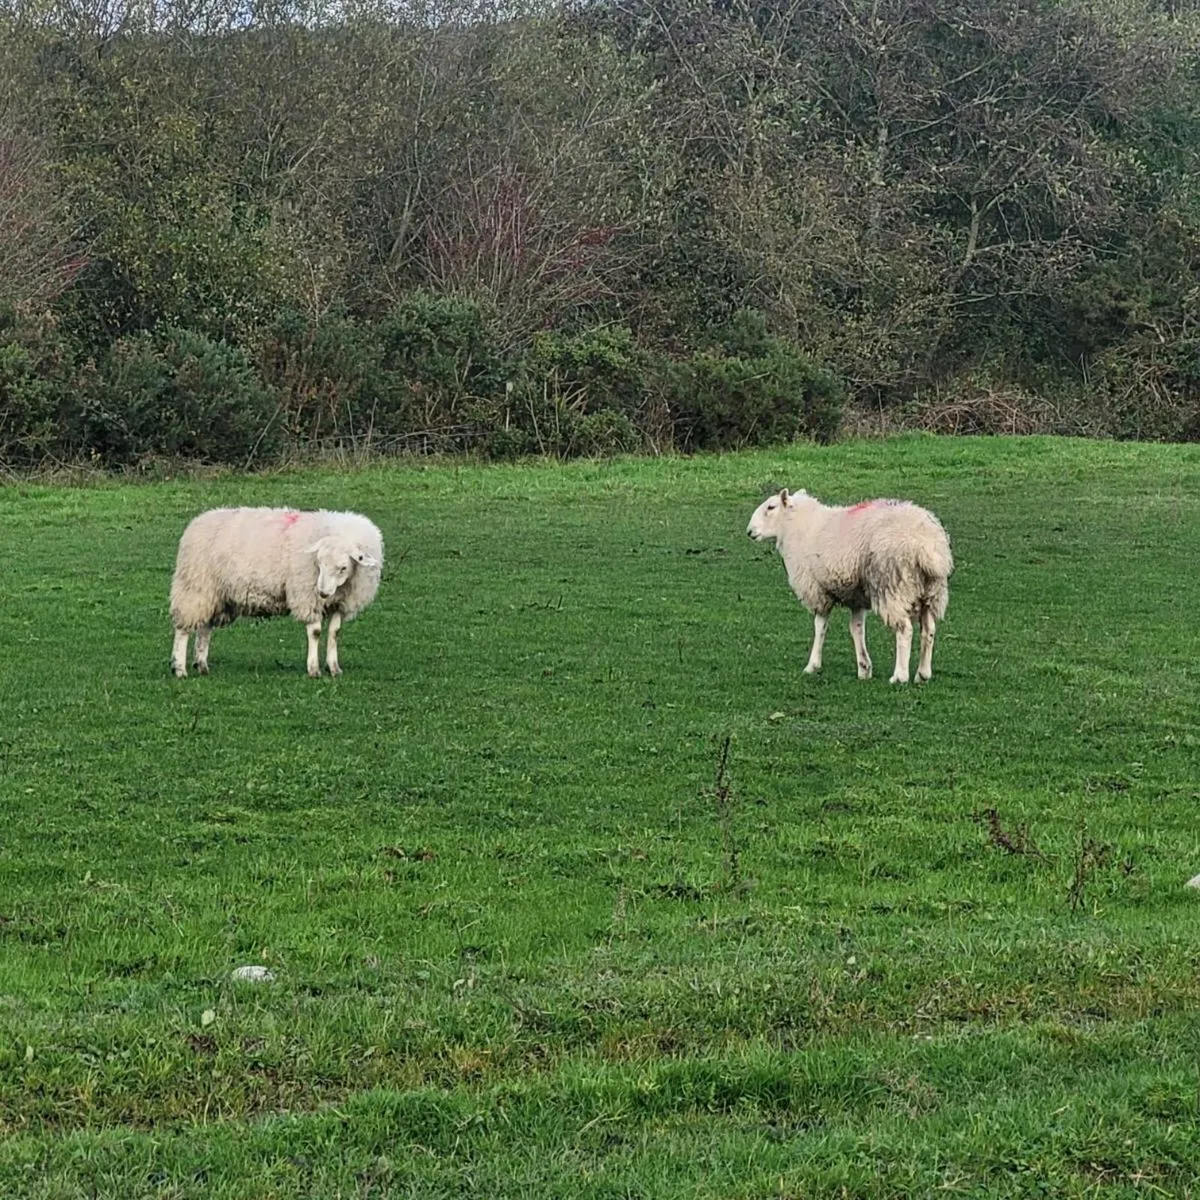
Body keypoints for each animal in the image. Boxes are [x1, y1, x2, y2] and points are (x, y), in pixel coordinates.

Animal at [169, 507, 383, 678]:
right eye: (319, 563)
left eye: (343, 567)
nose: (322, 592)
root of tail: (199, 520)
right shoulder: (307, 597)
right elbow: (315, 632)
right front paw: (314, 669)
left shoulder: (340, 603)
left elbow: (334, 633)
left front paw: (334, 668)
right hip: (195, 587)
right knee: (183, 629)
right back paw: (180, 669)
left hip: (216, 596)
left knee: (205, 628)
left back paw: (202, 665)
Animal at [746, 489, 952, 683]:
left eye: (771, 507)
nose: (749, 531)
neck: (798, 525)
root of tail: (927, 547)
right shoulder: (856, 598)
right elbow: (856, 628)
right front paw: (864, 668)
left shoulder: (818, 590)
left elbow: (820, 626)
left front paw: (813, 665)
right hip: (931, 592)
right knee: (929, 630)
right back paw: (922, 674)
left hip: (892, 585)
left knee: (904, 630)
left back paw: (899, 676)